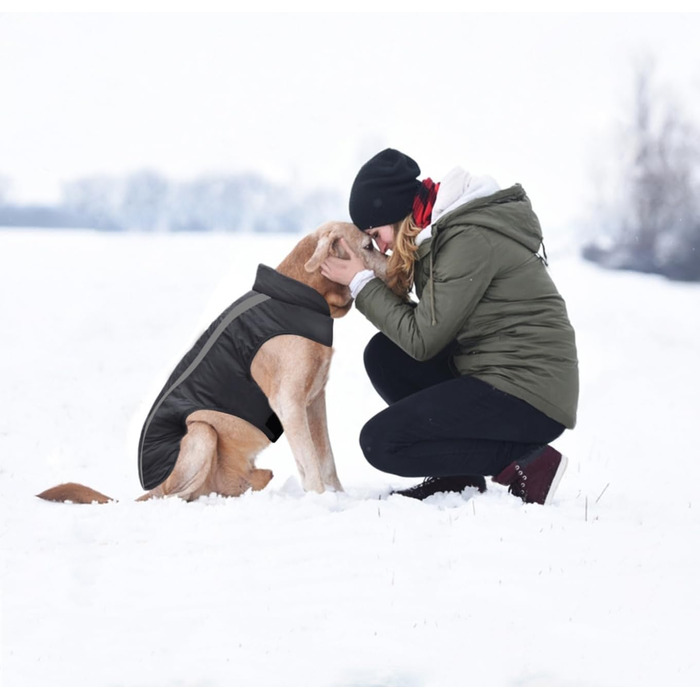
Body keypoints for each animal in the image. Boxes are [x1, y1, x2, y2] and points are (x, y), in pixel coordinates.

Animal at [37, 223, 388, 504]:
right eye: (367, 245)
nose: (393, 257)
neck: (303, 295)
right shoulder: (289, 402)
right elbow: (311, 462)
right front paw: (322, 501)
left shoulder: (314, 399)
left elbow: (326, 458)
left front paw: (339, 496)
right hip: (200, 432)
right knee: (175, 495)